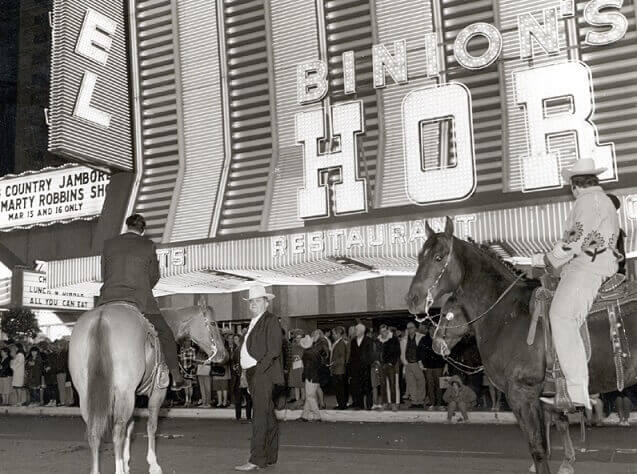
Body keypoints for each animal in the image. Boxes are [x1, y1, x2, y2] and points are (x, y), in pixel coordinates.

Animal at [69, 302, 227, 472]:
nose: (223, 355)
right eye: (213, 323)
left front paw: (126, 462)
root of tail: (101, 318)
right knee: (117, 431)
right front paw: (153, 465)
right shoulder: (157, 393)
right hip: (124, 394)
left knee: (94, 432)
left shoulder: (134, 397)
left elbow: (130, 428)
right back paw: (119, 470)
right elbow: (151, 426)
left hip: (87, 396)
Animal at [408, 218, 636, 474]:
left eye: (438, 257)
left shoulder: (522, 394)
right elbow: (551, 432)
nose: (412, 299)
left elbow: (538, 448)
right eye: (419, 257)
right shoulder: (541, 398)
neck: (508, 313)